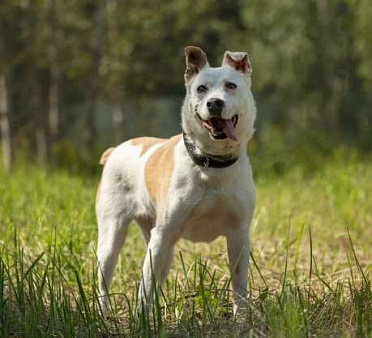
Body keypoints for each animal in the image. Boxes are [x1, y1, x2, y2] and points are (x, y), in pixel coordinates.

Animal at [96, 45, 256, 314]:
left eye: (231, 85)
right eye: (201, 88)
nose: (214, 103)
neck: (211, 163)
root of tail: (115, 150)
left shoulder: (239, 235)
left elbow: (239, 284)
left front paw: (243, 318)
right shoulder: (162, 235)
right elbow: (144, 288)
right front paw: (141, 319)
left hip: (163, 247)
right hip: (114, 234)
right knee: (106, 276)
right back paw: (103, 312)